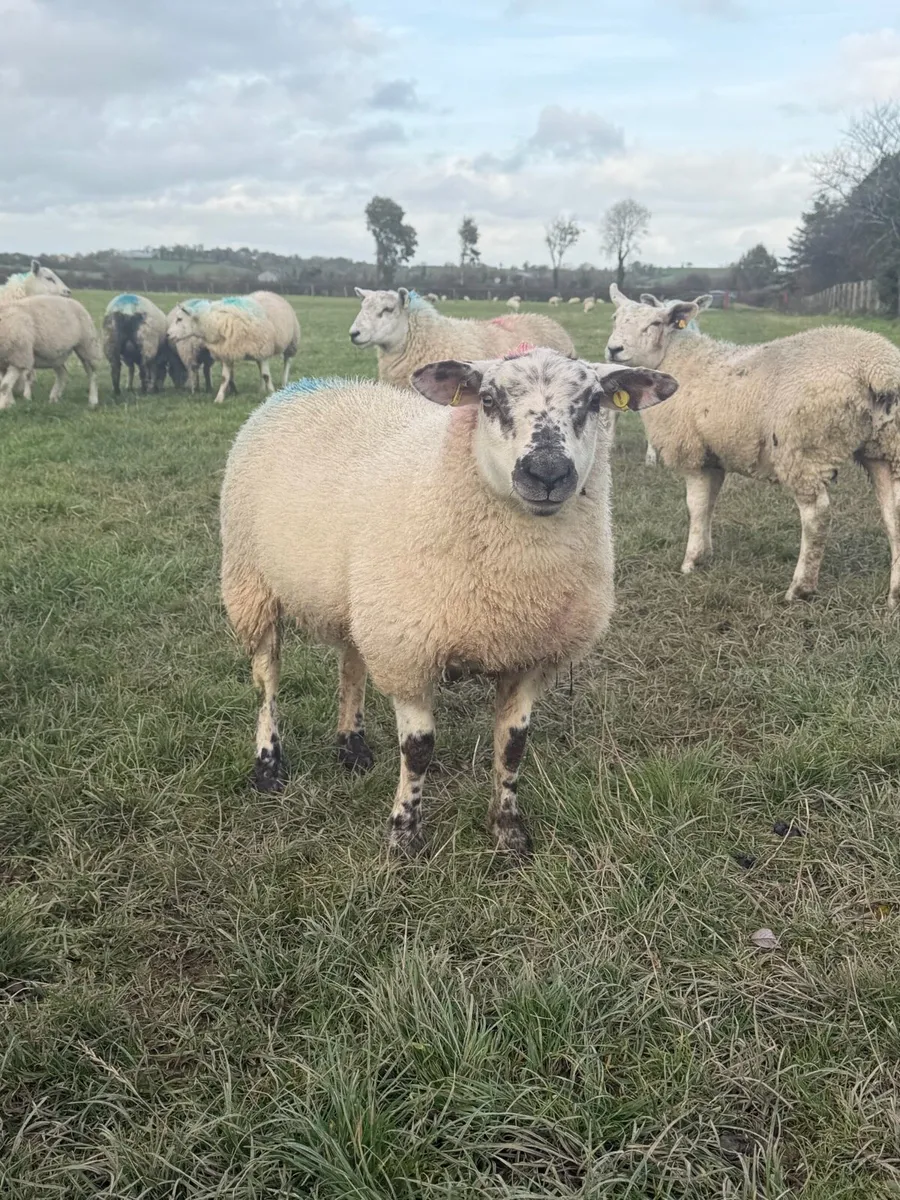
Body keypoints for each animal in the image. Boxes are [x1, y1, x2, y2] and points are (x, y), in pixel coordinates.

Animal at [220, 348, 678, 856]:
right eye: (489, 399)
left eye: (595, 401)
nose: (547, 473)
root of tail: (311, 383)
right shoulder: (409, 652)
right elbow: (419, 750)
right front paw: (403, 835)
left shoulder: (529, 655)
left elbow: (513, 746)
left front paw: (508, 831)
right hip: (250, 581)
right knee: (267, 678)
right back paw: (269, 765)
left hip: (362, 601)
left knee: (352, 664)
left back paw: (352, 745)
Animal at [606, 283, 900, 606]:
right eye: (615, 318)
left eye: (656, 323)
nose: (613, 349)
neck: (678, 360)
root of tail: (877, 367)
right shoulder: (713, 455)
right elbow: (709, 504)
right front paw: (705, 555)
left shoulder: (692, 452)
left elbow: (695, 506)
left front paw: (690, 561)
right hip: (885, 448)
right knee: (894, 514)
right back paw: (895, 595)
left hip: (804, 448)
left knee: (816, 515)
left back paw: (800, 588)